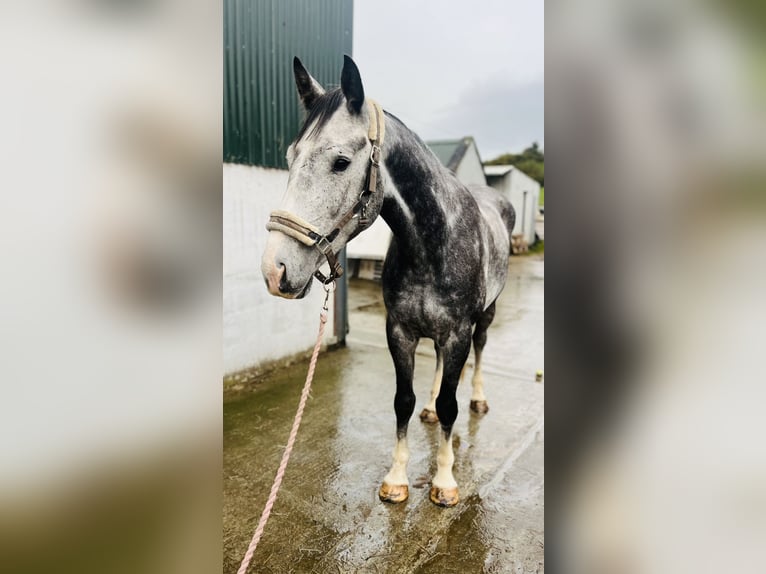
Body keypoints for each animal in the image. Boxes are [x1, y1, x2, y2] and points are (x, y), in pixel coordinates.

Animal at [261, 56, 515, 507]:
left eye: (341, 162)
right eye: (290, 157)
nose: (276, 269)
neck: (433, 242)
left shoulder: (458, 334)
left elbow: (451, 406)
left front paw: (445, 481)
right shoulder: (399, 331)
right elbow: (403, 401)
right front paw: (397, 478)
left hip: (485, 317)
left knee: (481, 352)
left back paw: (479, 400)